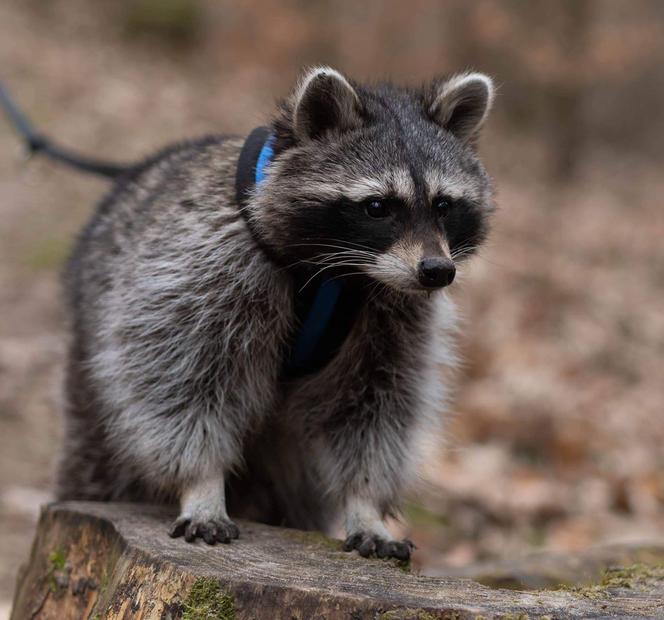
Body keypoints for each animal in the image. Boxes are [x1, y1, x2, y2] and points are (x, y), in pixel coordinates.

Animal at [5, 65, 496, 560]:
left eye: (443, 205)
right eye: (377, 207)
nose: (437, 271)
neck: (341, 275)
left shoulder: (394, 318)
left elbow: (374, 409)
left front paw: (365, 503)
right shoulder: (199, 272)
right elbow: (180, 384)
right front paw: (202, 484)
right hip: (89, 372)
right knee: (99, 456)